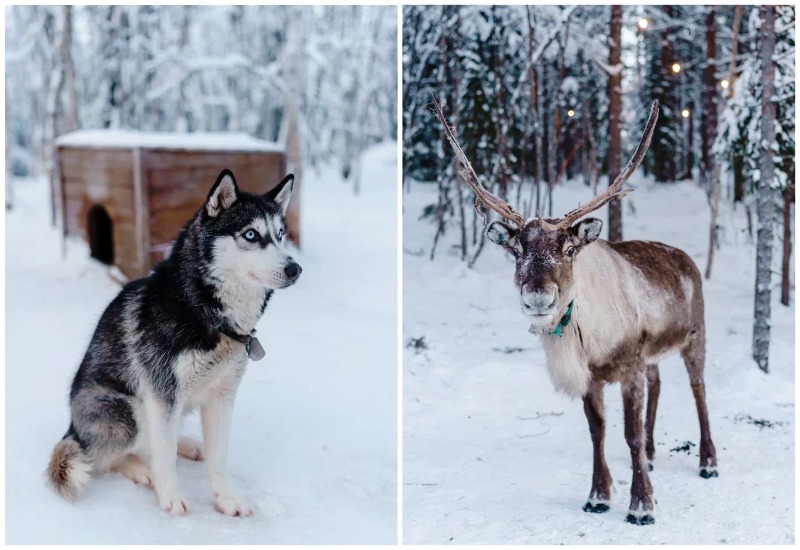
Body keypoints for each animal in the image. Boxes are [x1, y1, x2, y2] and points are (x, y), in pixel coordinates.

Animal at [47, 171, 304, 516]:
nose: (295, 269)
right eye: (251, 234)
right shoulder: (162, 394)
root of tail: (73, 428)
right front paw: (170, 496)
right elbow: (164, 454)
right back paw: (141, 469)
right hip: (125, 413)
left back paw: (188, 445)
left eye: (280, 235)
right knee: (106, 458)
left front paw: (226, 499)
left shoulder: (222, 396)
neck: (204, 310)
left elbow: (218, 457)